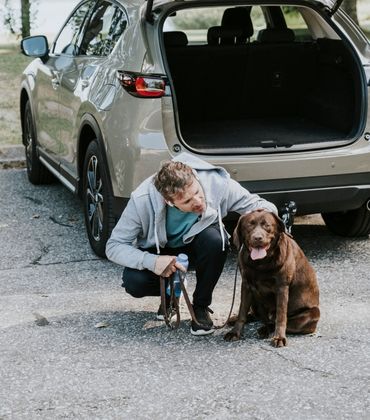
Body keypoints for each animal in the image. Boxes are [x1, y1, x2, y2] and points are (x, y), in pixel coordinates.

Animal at [224, 210, 320, 348]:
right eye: (249, 225)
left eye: (267, 225)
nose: (258, 238)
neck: (260, 263)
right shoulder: (246, 285)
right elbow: (242, 311)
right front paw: (235, 332)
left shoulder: (282, 287)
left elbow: (281, 317)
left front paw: (279, 337)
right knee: (256, 315)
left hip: (311, 314)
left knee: (276, 322)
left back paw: (265, 329)